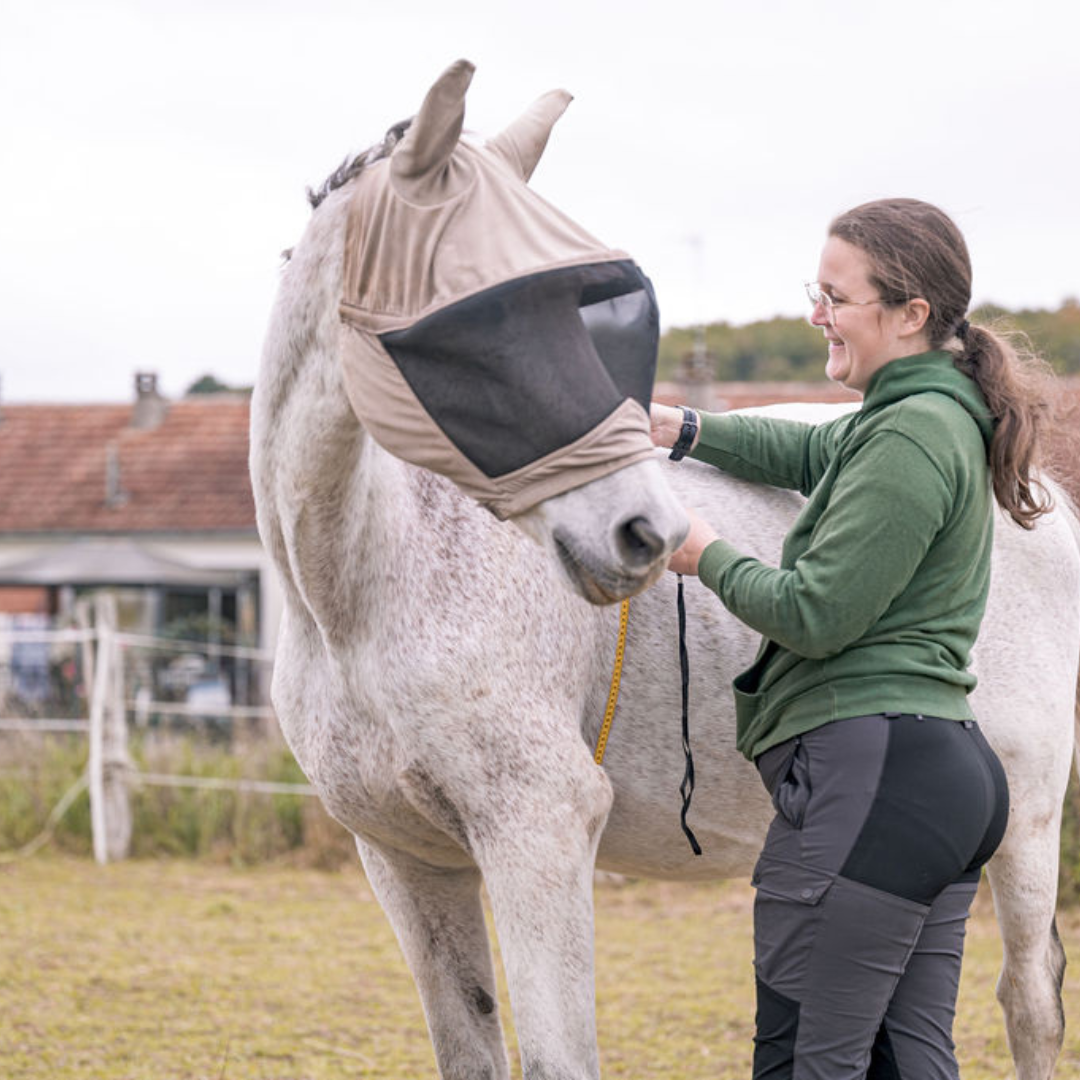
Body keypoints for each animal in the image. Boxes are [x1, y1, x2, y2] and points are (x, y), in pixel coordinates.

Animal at [250, 61, 1079, 1080]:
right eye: (480, 316)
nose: (646, 532)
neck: (365, 596)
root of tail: (1036, 491)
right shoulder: (409, 860)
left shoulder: (539, 835)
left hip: (1026, 825)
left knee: (1029, 1002)